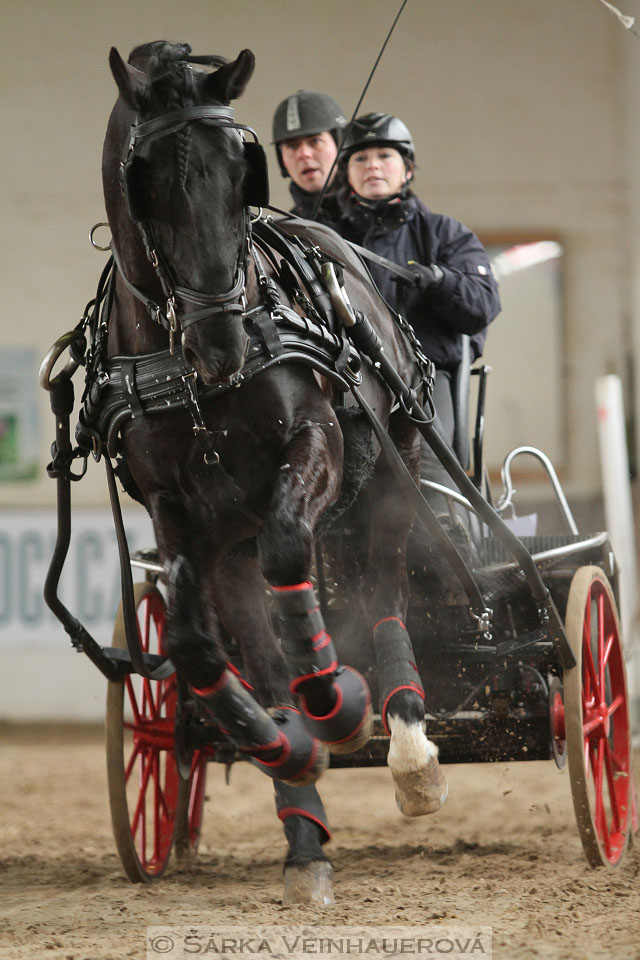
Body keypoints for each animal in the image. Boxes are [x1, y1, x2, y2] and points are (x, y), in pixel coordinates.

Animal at [101, 41, 444, 904]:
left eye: (240, 170)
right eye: (147, 181)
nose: (220, 342)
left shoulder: (315, 444)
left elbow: (291, 549)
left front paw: (340, 705)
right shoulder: (179, 511)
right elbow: (196, 645)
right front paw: (284, 746)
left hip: (392, 471)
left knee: (382, 588)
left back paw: (406, 743)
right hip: (234, 536)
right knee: (254, 646)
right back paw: (303, 828)